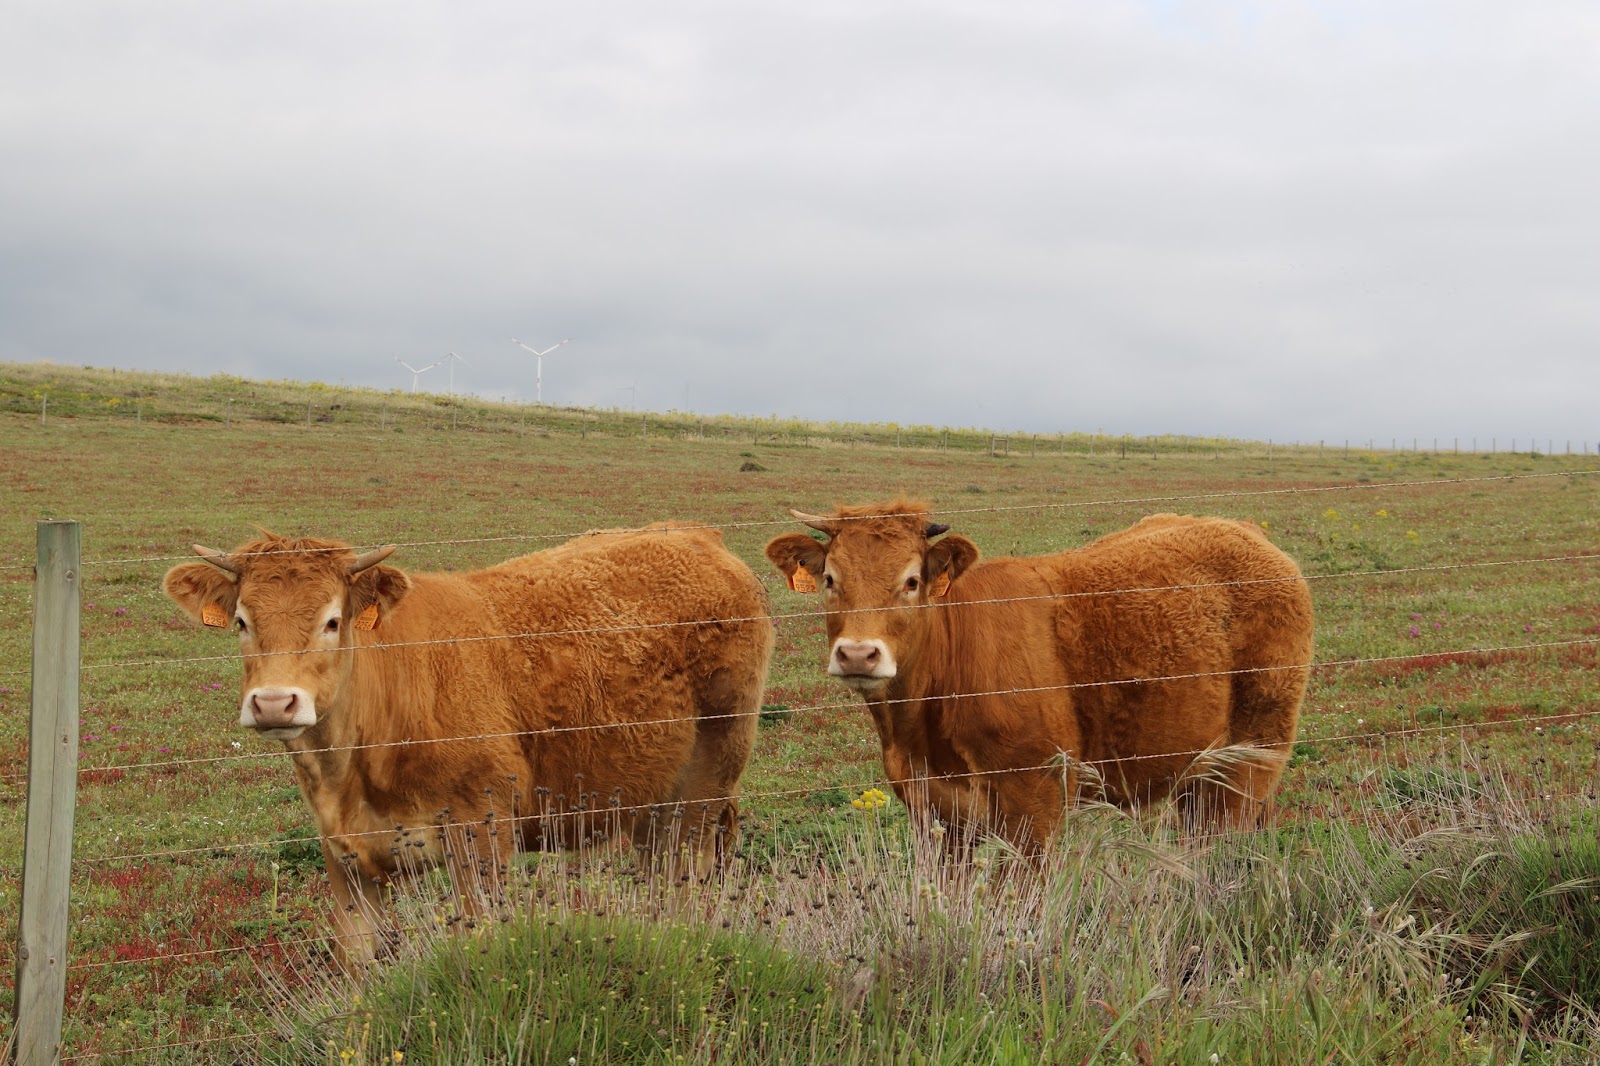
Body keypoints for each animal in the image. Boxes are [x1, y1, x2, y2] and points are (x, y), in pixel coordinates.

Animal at [164, 524, 773, 965]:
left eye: (333, 621)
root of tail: (698, 535)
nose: (273, 703)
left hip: (704, 789)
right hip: (650, 801)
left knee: (687, 881)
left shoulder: (483, 833)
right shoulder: (345, 861)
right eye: (242, 622)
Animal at [765, 500, 1313, 854]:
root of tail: (1244, 530)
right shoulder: (936, 816)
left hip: (1248, 761)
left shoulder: (1034, 805)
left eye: (912, 581)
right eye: (830, 579)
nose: (858, 654)